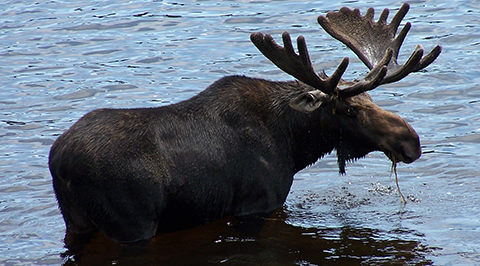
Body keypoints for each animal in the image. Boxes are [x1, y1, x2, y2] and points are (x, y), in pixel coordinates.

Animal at [49, 3, 442, 246]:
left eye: (372, 101)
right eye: (348, 110)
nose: (411, 141)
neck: (295, 146)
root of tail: (57, 162)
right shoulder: (258, 203)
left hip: (77, 223)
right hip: (132, 224)